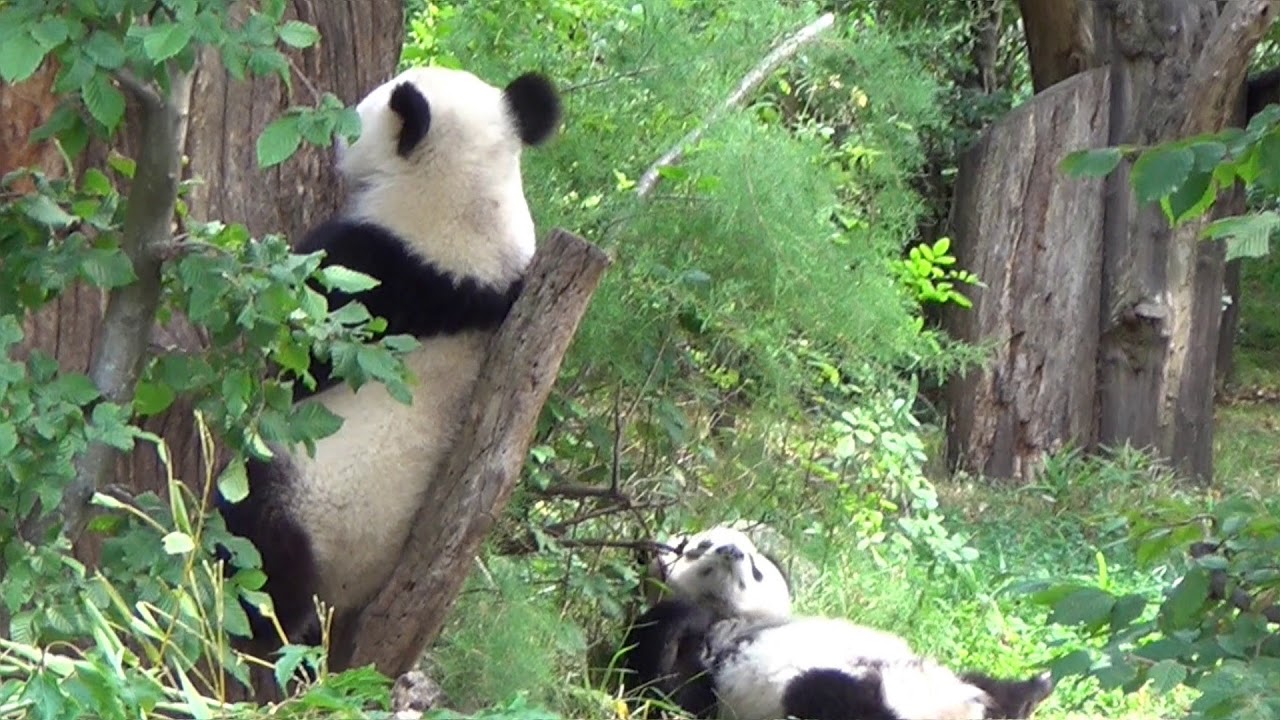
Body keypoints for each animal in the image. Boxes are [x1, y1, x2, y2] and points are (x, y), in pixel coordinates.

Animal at [216, 64, 562, 651]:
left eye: (365, 108)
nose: (336, 133)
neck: (470, 201)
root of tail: (345, 595)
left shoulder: (376, 270)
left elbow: (298, 352)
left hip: (316, 501)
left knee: (258, 546)